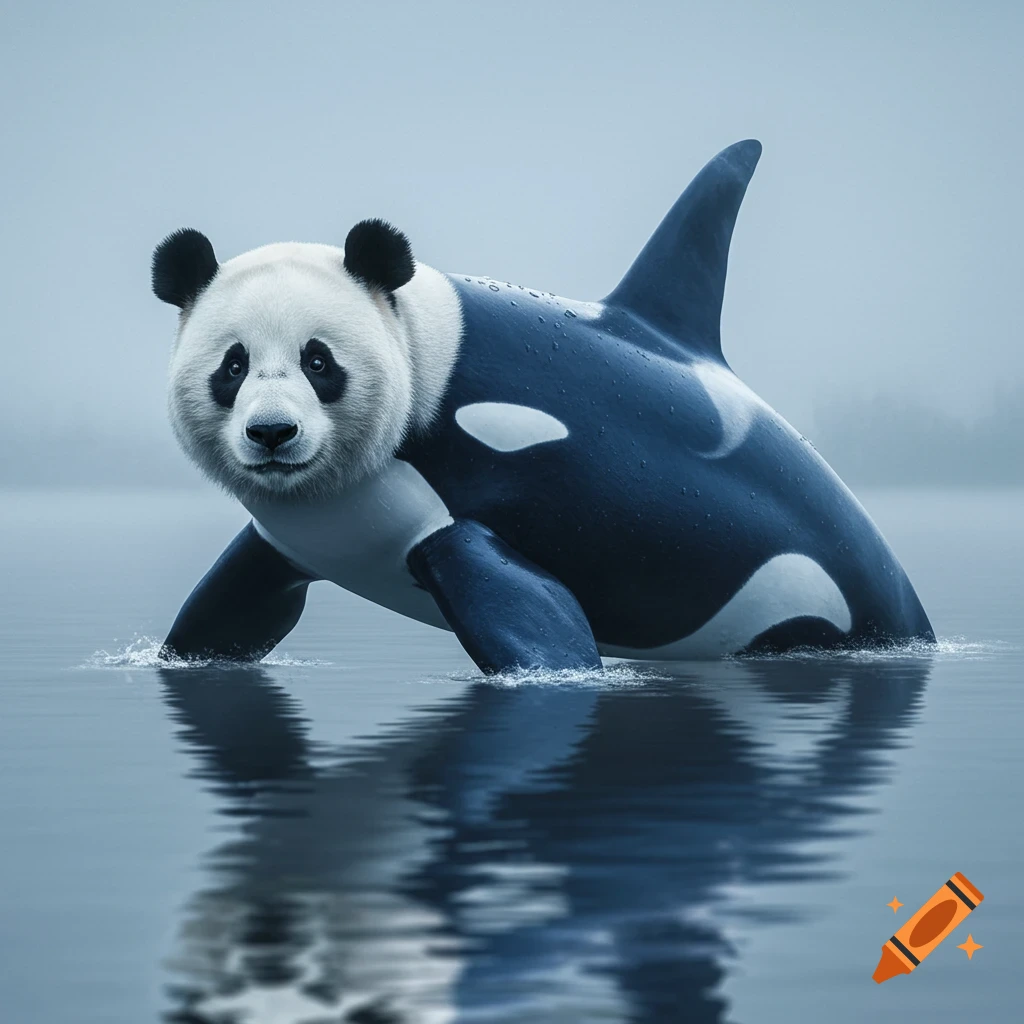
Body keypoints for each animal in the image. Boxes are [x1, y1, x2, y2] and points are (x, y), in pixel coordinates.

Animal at [152, 140, 934, 672]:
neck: (413, 355)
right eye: (232, 367)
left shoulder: (453, 520)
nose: (271, 431)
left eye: (320, 364)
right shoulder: (284, 542)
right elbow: (224, 612)